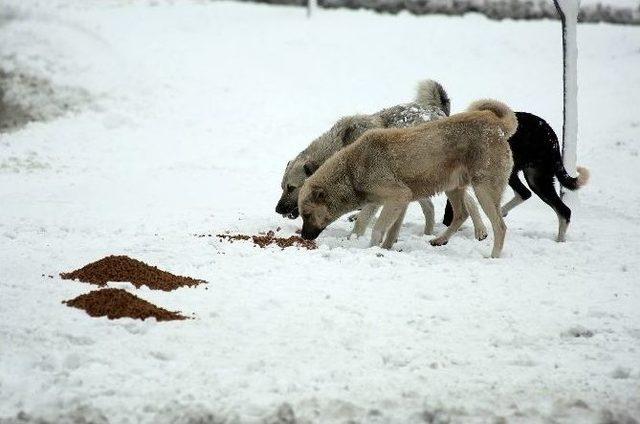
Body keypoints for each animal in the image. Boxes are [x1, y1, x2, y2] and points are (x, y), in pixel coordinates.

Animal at [298, 100, 516, 258]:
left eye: (306, 214)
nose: (302, 236)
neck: (351, 170)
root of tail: (496, 125)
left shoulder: (397, 197)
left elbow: (377, 229)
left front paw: (372, 249)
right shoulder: (401, 201)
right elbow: (391, 231)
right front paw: (385, 249)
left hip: (484, 190)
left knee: (500, 226)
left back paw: (493, 257)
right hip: (453, 187)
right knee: (461, 214)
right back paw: (440, 239)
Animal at [444, 111, 592, 240]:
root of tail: (550, 132)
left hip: (532, 178)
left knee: (563, 210)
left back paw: (559, 241)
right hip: (530, 176)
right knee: (526, 194)